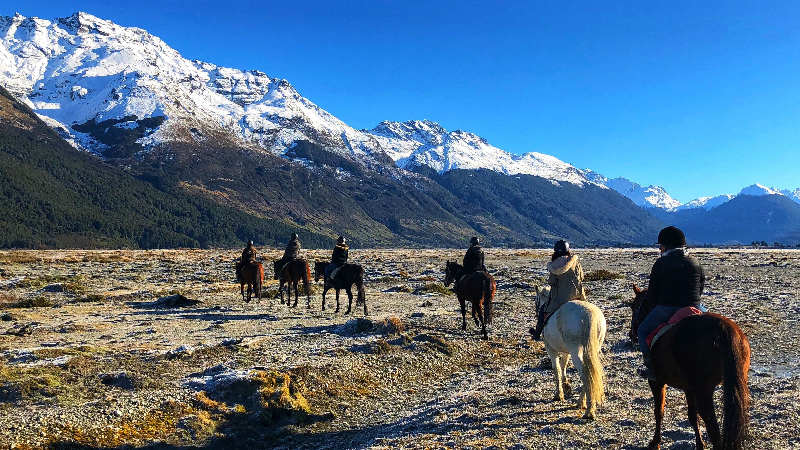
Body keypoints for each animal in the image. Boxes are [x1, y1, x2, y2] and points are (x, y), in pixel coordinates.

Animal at [533, 286, 606, 420]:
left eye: (536, 299)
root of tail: (588, 315)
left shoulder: (551, 350)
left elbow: (556, 369)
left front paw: (558, 394)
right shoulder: (566, 352)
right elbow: (563, 366)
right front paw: (566, 385)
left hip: (576, 351)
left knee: (585, 374)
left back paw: (589, 411)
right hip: (594, 349)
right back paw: (581, 403)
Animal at [626, 285, 750, 450]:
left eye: (634, 306)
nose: (631, 334)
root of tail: (722, 329)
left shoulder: (657, 382)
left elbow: (659, 411)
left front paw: (655, 442)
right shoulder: (688, 388)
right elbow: (692, 417)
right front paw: (699, 444)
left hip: (704, 391)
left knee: (712, 426)